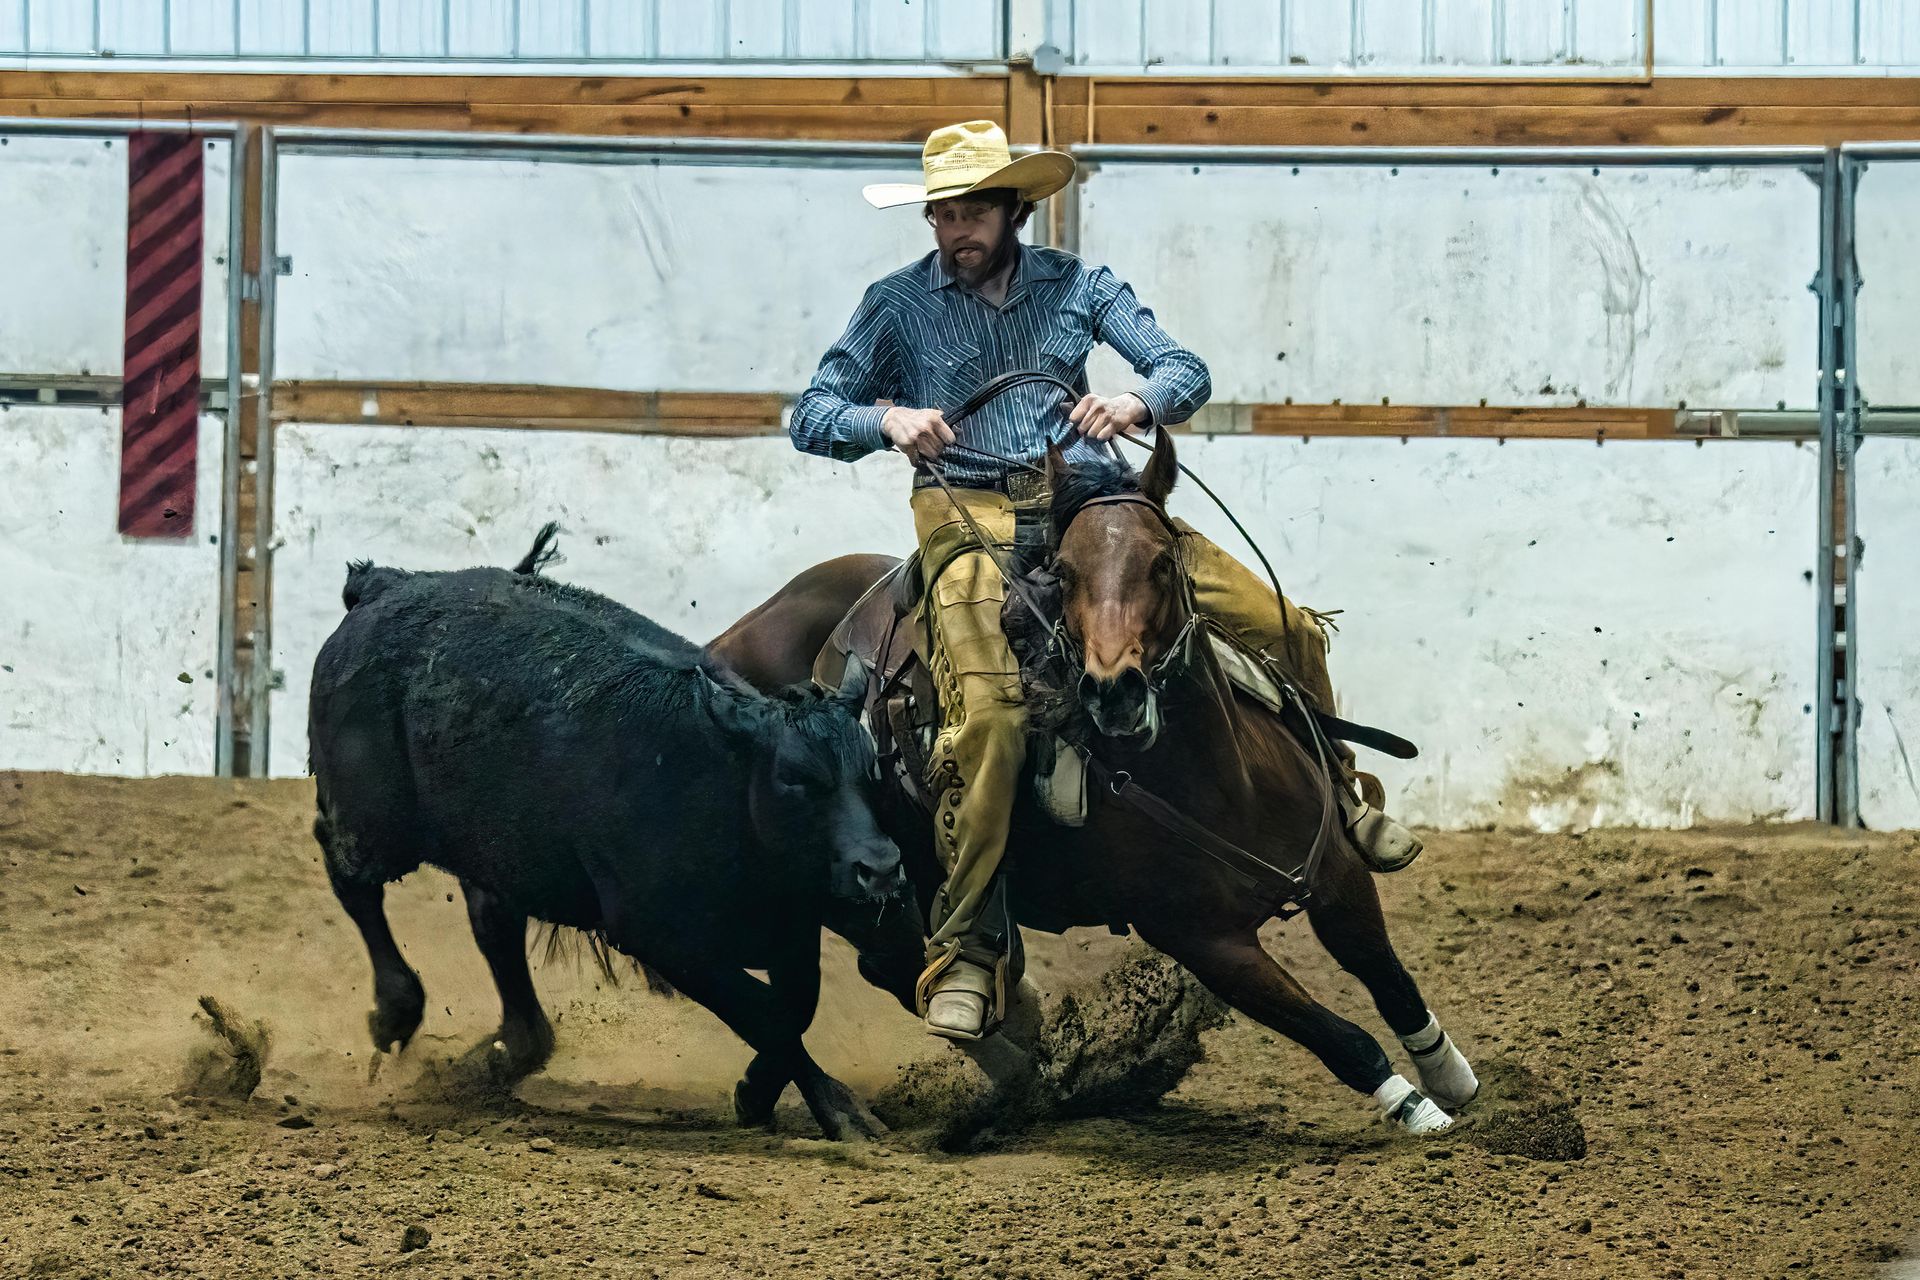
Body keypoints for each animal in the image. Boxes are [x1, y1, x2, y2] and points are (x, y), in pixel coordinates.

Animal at [305, 545, 913, 1136]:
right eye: (794, 778)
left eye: (870, 771)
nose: (881, 866)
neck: (719, 778)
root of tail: (386, 584)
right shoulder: (655, 935)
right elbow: (764, 1013)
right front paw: (843, 1112)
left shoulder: (791, 928)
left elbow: (792, 1008)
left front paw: (767, 1095)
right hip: (372, 822)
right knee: (348, 875)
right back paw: (397, 1010)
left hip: (497, 853)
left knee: (494, 926)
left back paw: (506, 1052)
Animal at [714, 435, 1474, 1136]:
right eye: (1066, 571)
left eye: (1164, 560)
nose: (1115, 690)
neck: (1223, 788)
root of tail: (734, 639)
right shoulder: (1204, 941)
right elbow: (1340, 1036)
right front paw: (1417, 1110)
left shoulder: (1335, 871)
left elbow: (1389, 979)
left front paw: (1451, 1077)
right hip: (851, 883)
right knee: (880, 967)